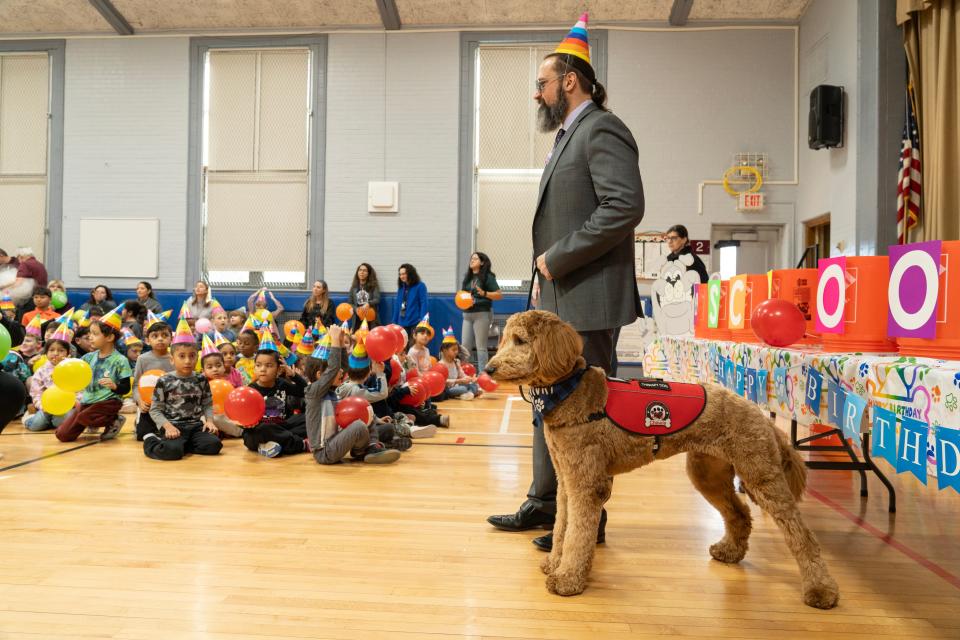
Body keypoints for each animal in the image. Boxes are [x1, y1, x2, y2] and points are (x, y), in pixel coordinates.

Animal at [488, 310, 840, 608]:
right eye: (504, 339)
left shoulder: (586, 483)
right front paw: (554, 564)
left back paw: (821, 590)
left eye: (520, 340)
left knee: (801, 534)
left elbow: (577, 533)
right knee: (739, 514)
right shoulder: (566, 481)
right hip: (708, 472)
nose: (489, 368)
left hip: (760, 474)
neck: (567, 390)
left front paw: (568, 579)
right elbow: (562, 524)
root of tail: (759, 414)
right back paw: (729, 551)